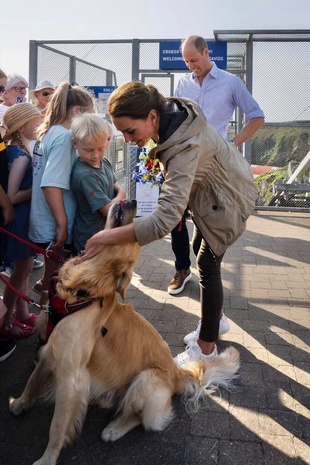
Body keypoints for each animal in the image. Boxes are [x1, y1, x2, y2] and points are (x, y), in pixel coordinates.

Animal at [9, 198, 240, 464]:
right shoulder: (50, 350)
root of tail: (178, 374)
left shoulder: (72, 375)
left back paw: (114, 429)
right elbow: (33, 379)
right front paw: (20, 403)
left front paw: (47, 458)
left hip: (145, 380)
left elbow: (57, 426)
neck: (83, 291)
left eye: (130, 235)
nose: (133, 199)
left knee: (142, 418)